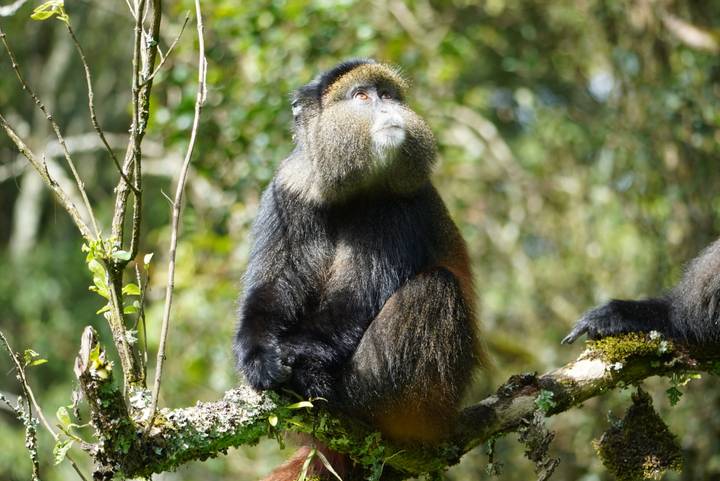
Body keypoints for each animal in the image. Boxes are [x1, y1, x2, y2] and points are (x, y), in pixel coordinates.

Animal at [233, 59, 482, 479]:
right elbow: (275, 284)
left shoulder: (396, 206)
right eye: (363, 96)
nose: (388, 109)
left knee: (435, 287)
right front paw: (258, 356)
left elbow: (356, 297)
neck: (350, 190)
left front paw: (300, 358)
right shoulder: (288, 192)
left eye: (388, 95)